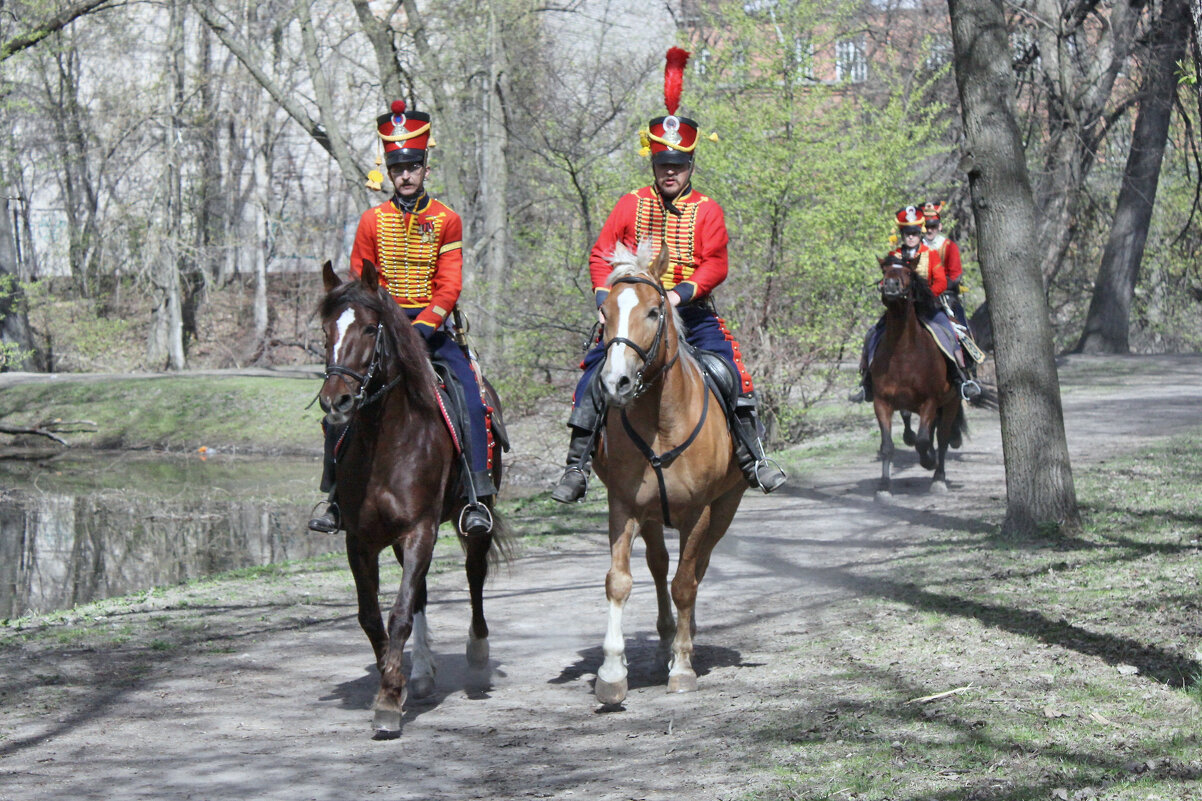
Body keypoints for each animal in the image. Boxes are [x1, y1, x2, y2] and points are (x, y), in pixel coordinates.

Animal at [314, 262, 507, 736]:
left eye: (370, 328)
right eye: (326, 330)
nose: (336, 400)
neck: (386, 443)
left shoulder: (421, 531)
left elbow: (399, 612)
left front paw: (387, 701)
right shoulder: (361, 541)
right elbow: (373, 617)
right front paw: (396, 681)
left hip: (474, 519)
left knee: (474, 575)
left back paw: (477, 655)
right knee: (419, 592)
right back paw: (420, 673)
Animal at [588, 241, 745, 697]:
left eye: (656, 311)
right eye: (605, 312)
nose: (616, 383)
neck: (661, 421)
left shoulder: (700, 512)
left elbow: (685, 583)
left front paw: (684, 666)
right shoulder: (623, 506)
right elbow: (620, 581)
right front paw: (612, 672)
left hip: (725, 507)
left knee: (696, 569)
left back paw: (682, 643)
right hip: (653, 515)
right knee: (658, 566)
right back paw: (665, 640)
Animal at [870, 252, 961, 495]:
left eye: (909, 272)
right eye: (884, 271)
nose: (891, 285)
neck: (903, 353)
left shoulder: (930, 401)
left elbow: (923, 441)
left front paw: (928, 461)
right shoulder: (882, 401)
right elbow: (887, 446)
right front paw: (884, 487)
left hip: (952, 402)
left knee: (943, 437)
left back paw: (938, 477)